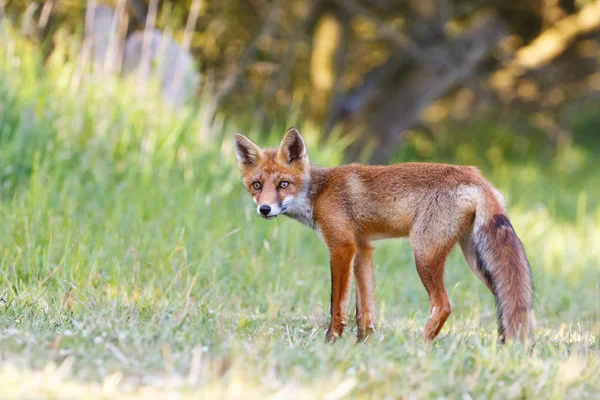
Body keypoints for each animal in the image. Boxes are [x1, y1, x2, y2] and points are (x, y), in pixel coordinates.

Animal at [234, 128, 536, 344]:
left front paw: (331, 340)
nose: (264, 209)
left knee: (443, 306)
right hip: (479, 263)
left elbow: (337, 304)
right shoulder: (363, 249)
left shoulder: (342, 246)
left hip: (424, 254)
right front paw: (364, 343)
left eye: (284, 184)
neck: (320, 192)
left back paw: (419, 344)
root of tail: (477, 176)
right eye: (257, 185)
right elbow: (365, 307)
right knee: (514, 305)